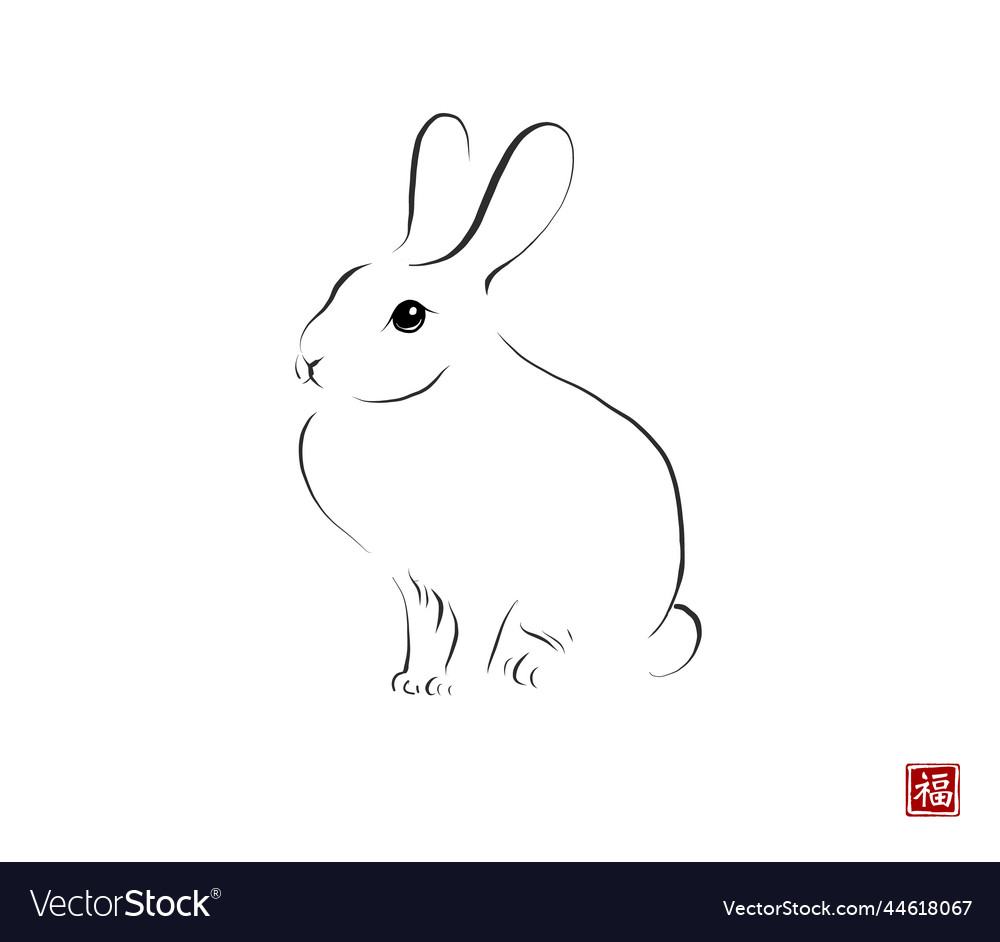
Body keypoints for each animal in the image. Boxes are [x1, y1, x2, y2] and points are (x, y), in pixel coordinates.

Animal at [296, 114, 701, 695]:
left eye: (409, 315)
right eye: (346, 281)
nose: (308, 357)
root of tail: (647, 645)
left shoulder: (483, 581)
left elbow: (473, 636)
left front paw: (454, 687)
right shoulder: (415, 581)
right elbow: (425, 632)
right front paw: (412, 682)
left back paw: (532, 671)